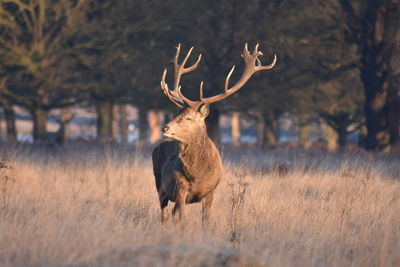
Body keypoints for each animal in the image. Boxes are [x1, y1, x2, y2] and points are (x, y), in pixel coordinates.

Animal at [152, 43, 276, 225]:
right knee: (165, 213)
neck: (197, 175)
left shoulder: (210, 191)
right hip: (159, 186)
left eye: (189, 118)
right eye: (176, 114)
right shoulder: (180, 188)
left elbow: (206, 220)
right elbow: (181, 218)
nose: (165, 128)